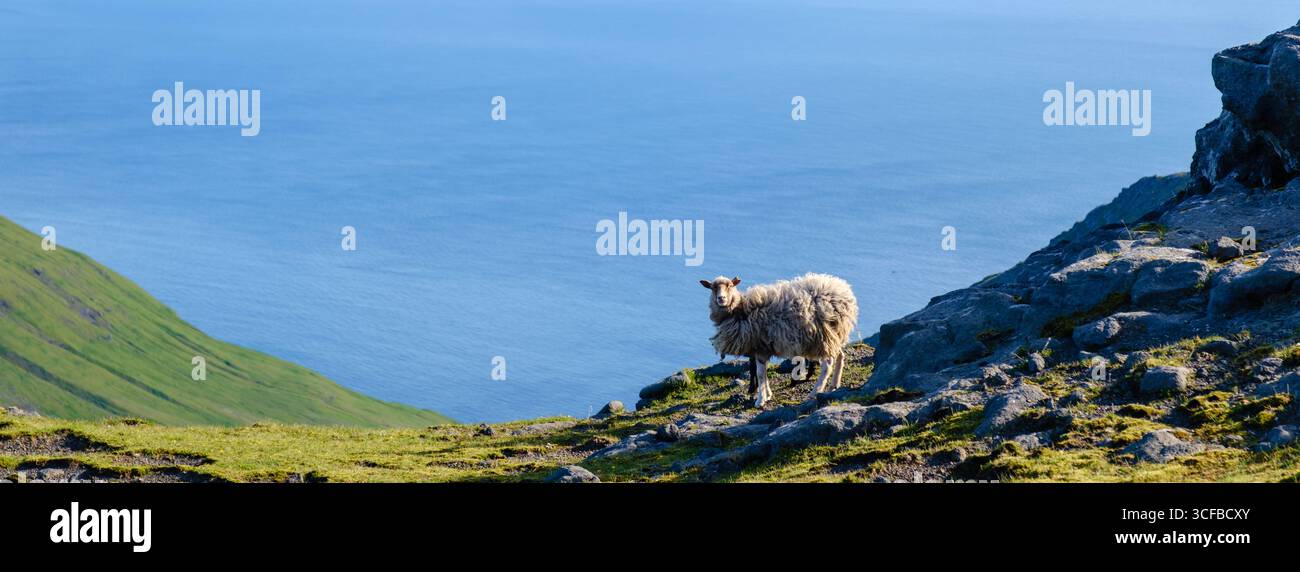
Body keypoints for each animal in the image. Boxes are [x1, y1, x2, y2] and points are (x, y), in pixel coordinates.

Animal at [699, 273, 859, 407]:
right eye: (713, 288)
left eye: (730, 286)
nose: (721, 299)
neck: (740, 311)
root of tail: (844, 292)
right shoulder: (762, 348)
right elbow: (763, 373)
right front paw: (768, 395)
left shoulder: (760, 348)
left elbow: (760, 374)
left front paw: (760, 400)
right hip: (834, 335)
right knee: (840, 356)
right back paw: (834, 385)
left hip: (822, 338)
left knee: (827, 365)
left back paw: (814, 393)